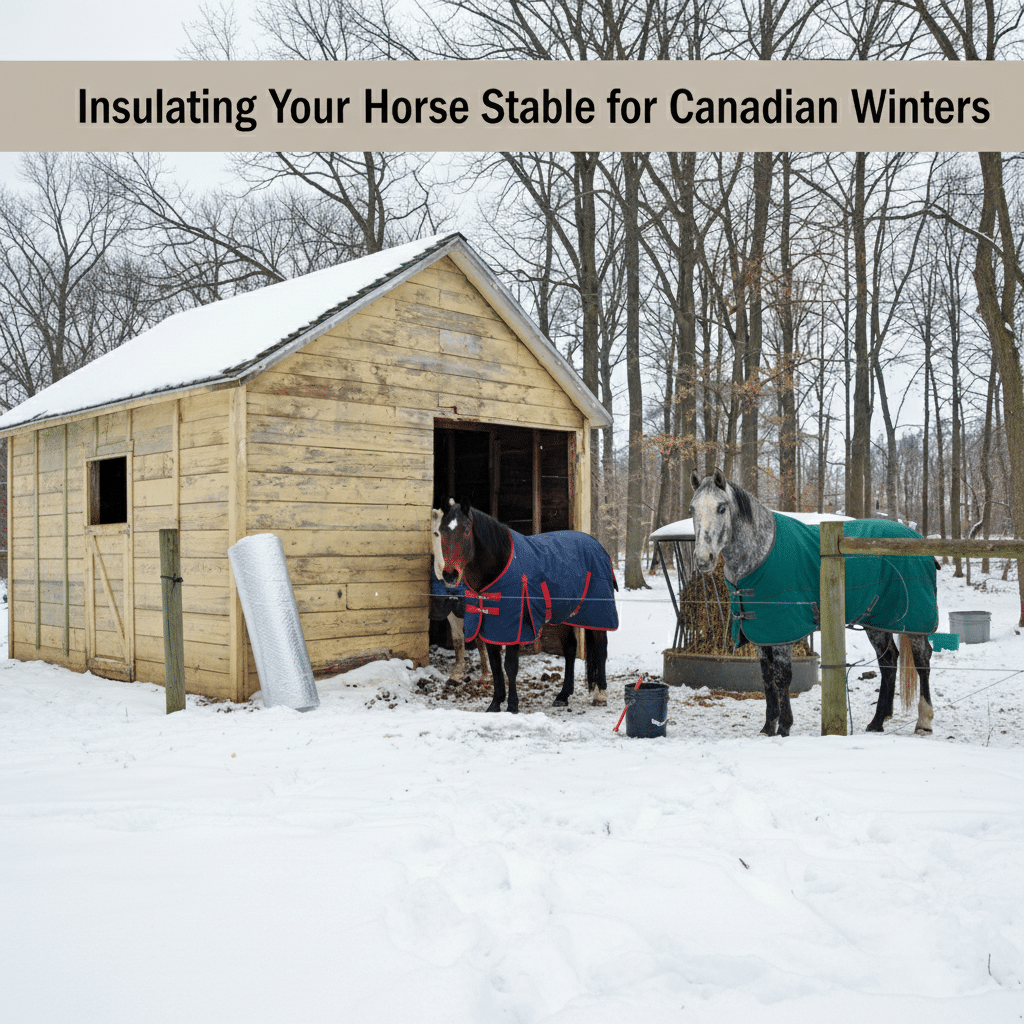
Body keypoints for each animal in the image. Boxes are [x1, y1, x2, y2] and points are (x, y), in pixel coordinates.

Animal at [430, 509, 492, 686]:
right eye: (436, 533)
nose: (447, 572)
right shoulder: (452, 611)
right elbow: (458, 640)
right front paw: (456, 675)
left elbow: (480, 639)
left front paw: (486, 675)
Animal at [688, 469, 936, 737]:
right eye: (692, 509)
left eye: (721, 508)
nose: (703, 560)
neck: (759, 553)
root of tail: (916, 537)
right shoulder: (762, 633)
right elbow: (767, 678)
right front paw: (768, 727)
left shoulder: (782, 633)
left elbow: (782, 677)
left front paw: (784, 727)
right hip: (876, 620)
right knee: (888, 661)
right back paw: (877, 721)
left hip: (914, 621)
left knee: (922, 661)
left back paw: (923, 722)